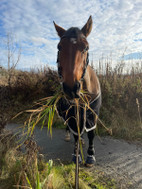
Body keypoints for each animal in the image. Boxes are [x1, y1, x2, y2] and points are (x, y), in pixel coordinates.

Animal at [53, 16, 101, 166]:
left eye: (86, 47)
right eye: (59, 47)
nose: (71, 88)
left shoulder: (92, 112)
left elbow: (91, 133)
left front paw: (90, 155)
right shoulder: (73, 113)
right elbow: (75, 132)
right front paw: (76, 154)